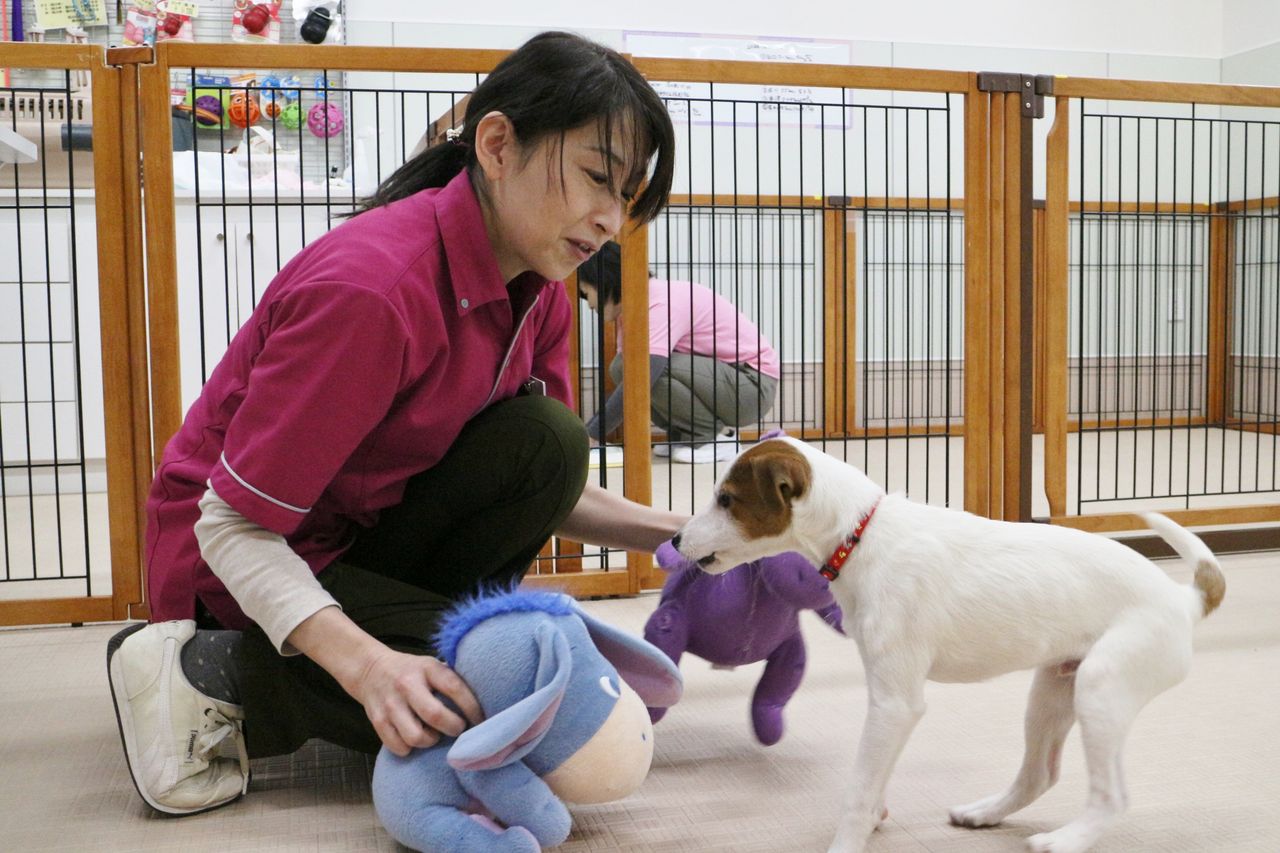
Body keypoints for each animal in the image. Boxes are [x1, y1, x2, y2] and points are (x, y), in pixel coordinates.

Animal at [672, 436, 1226, 853]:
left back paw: (1064, 840)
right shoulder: (891, 706)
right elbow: (875, 778)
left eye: (726, 500)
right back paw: (985, 813)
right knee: (1038, 775)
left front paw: (848, 841)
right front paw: (877, 814)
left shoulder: (895, 703)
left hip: (1101, 688)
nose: (676, 541)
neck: (862, 537)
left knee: (1112, 796)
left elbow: (858, 789)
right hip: (1053, 690)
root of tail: (1184, 599)